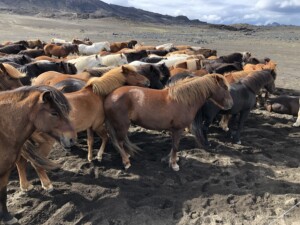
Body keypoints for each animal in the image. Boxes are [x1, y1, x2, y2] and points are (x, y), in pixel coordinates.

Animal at [104, 74, 233, 171]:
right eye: (224, 87)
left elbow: (173, 146)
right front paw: (174, 165)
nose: (230, 105)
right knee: (119, 143)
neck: (183, 100)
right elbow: (175, 146)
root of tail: (109, 97)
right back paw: (126, 162)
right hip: (121, 125)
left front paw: (172, 160)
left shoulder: (174, 129)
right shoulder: (178, 129)